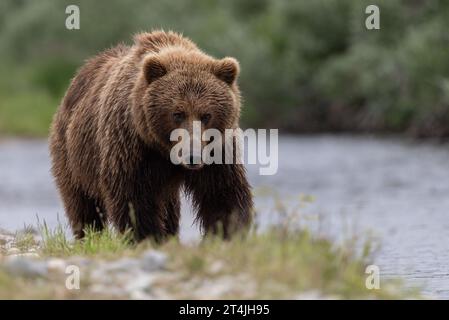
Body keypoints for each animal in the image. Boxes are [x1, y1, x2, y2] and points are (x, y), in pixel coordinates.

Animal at [50, 30, 252, 242]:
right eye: (177, 113)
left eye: (206, 115)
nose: (193, 156)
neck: (164, 149)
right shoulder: (131, 145)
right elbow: (134, 198)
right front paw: (146, 236)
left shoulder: (217, 150)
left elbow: (222, 193)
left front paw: (227, 233)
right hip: (73, 154)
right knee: (83, 203)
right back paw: (89, 235)